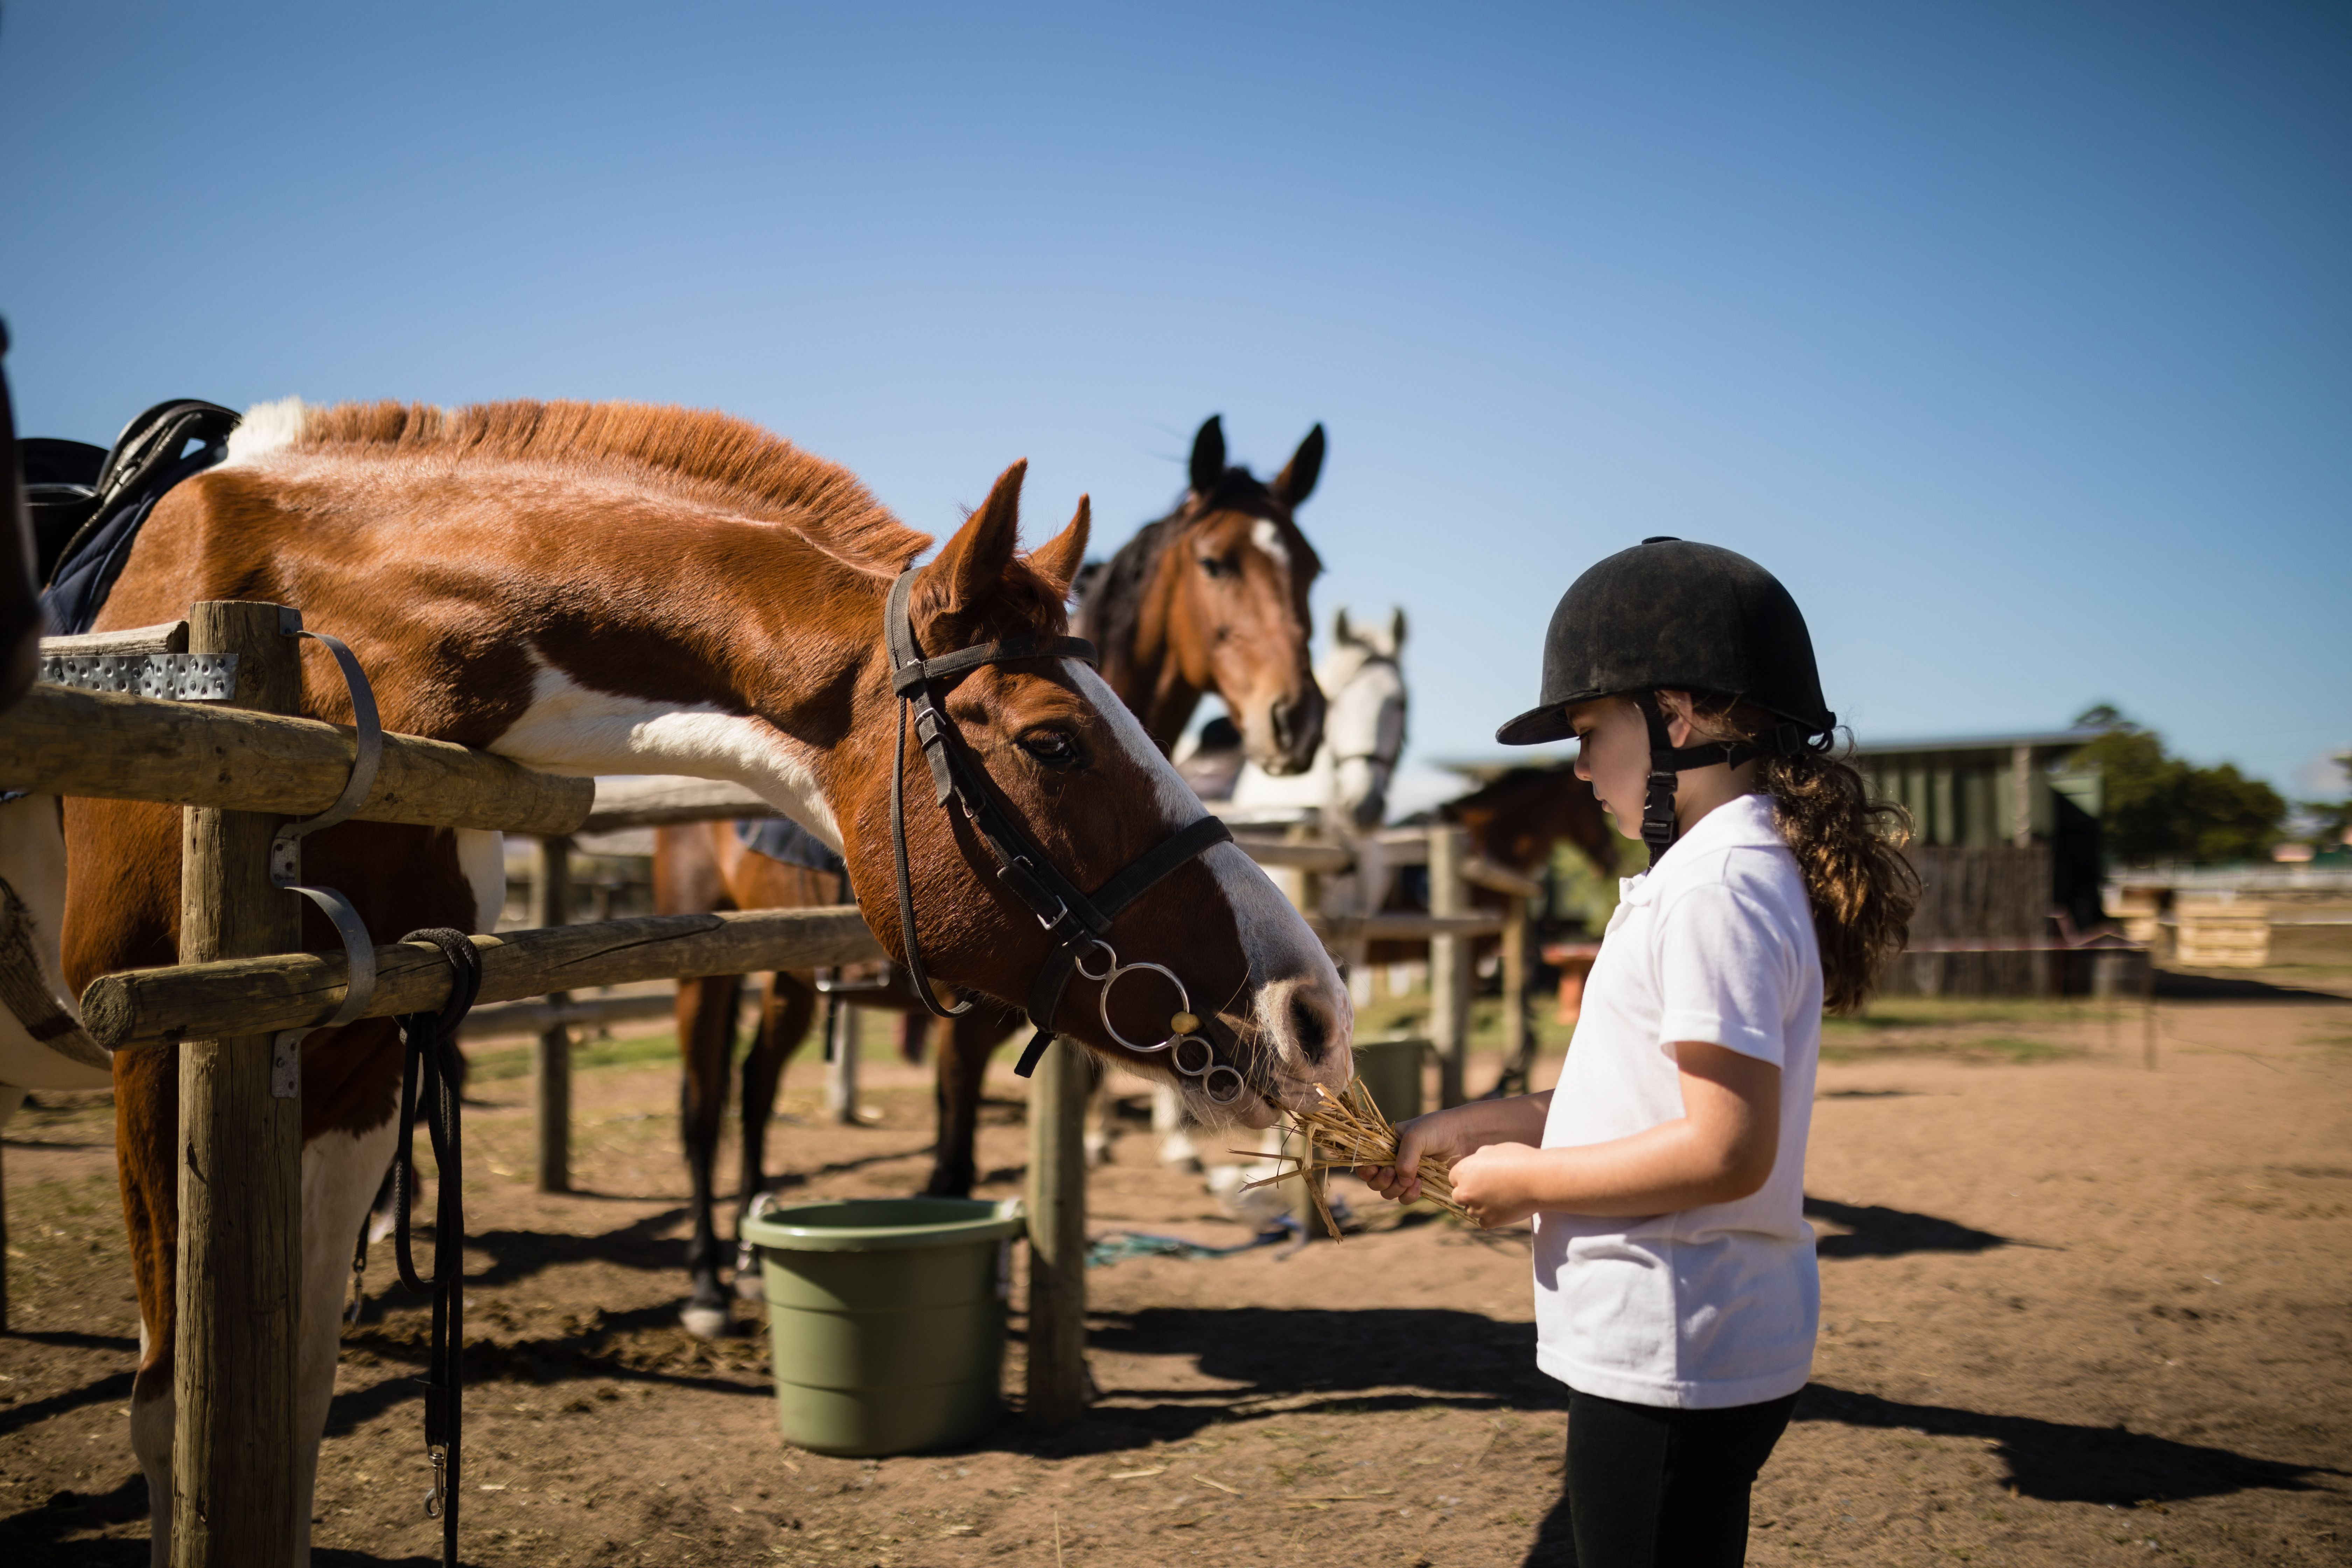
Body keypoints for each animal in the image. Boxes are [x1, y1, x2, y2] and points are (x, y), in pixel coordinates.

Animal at [654, 411, 1336, 1335]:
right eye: (1216, 561)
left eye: (1307, 566)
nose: (1296, 717)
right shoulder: (962, 1022)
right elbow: (951, 1168)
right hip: (708, 971)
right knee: (701, 1106)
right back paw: (704, 1283)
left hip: (792, 976)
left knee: (758, 1086)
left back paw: (755, 1255)